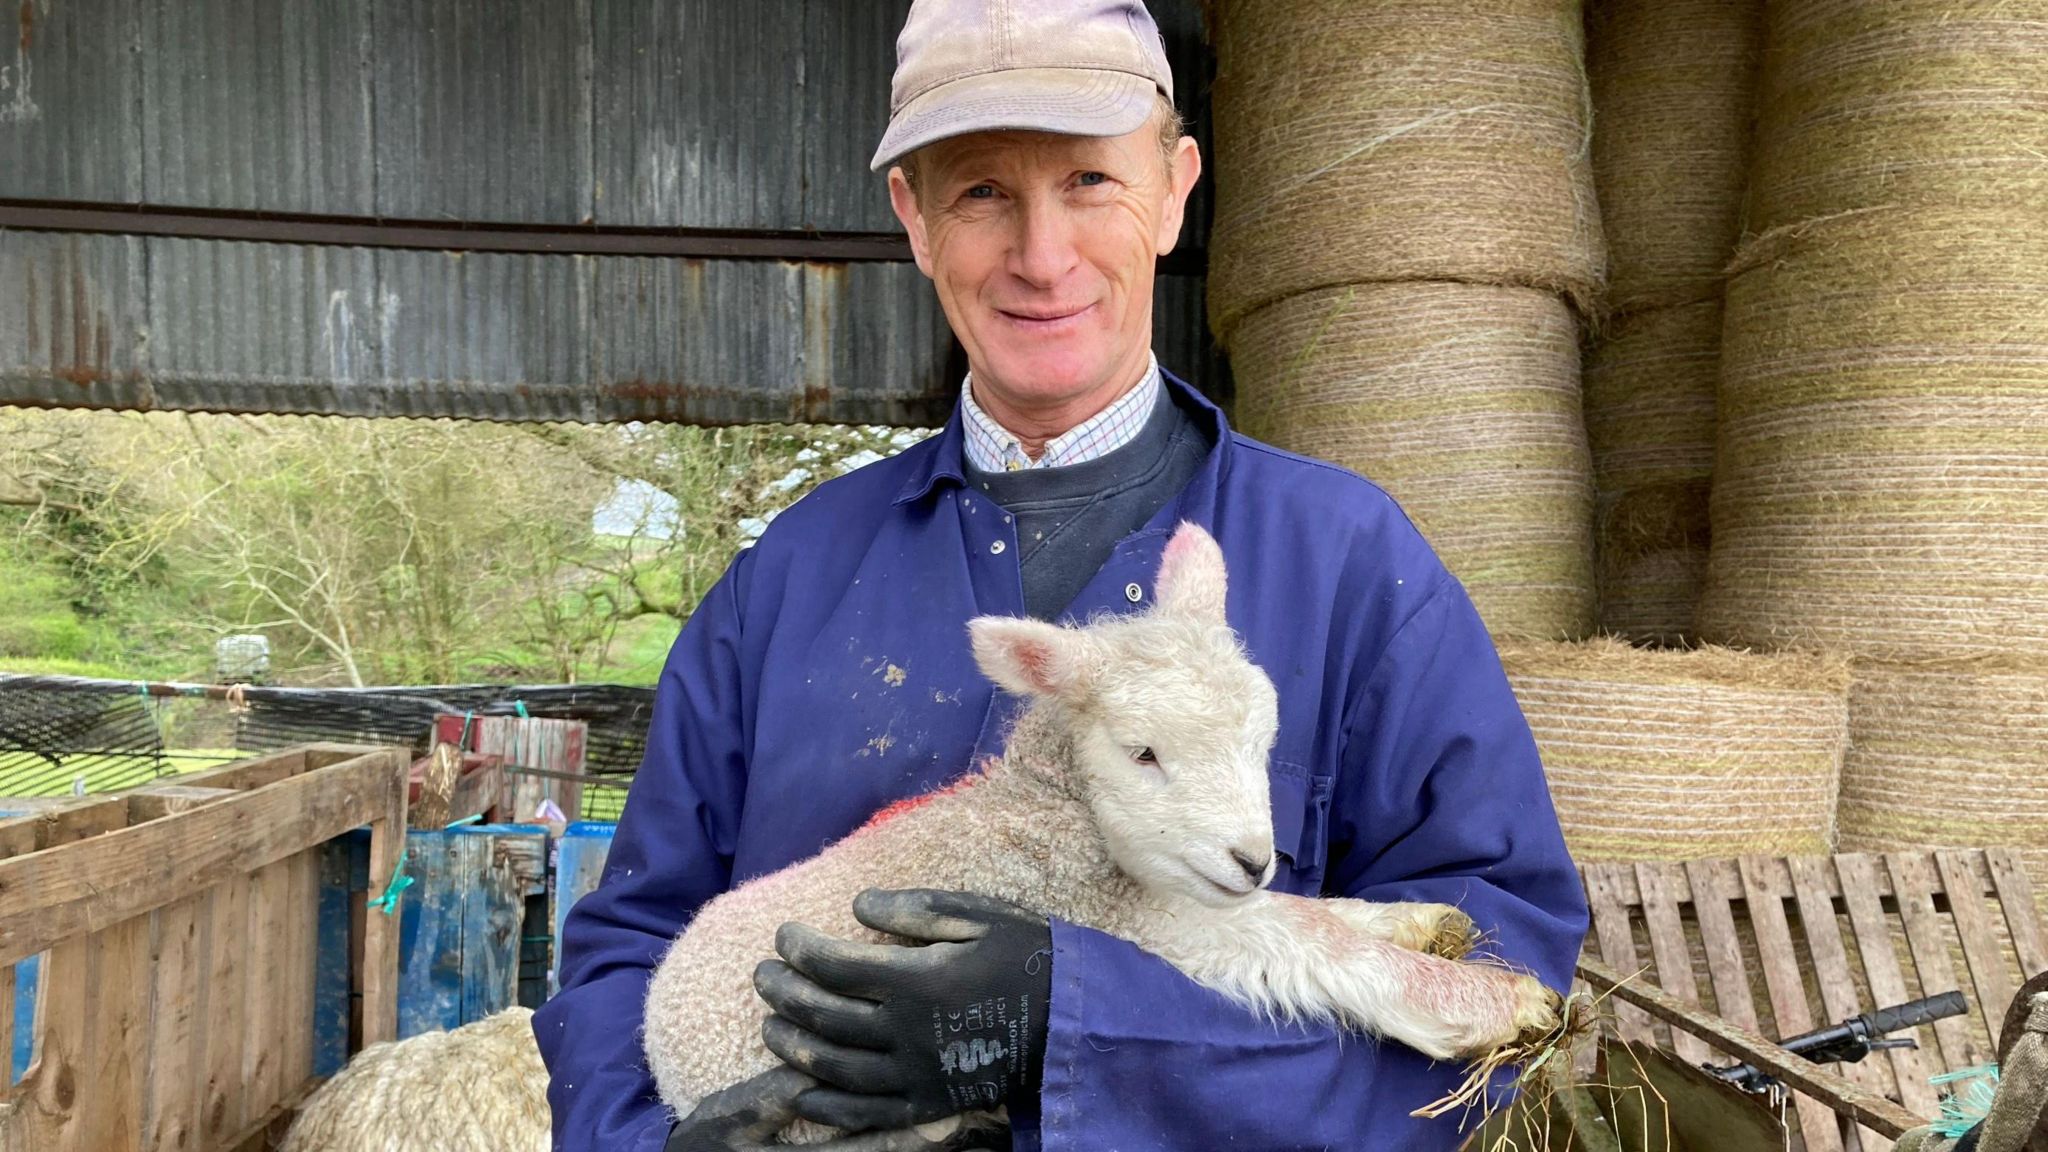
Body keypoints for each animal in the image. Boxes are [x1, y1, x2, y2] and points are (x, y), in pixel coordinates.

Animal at [647, 522, 1556, 1139]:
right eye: (1142, 752)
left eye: (1265, 739)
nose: (1251, 859)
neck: (1044, 810)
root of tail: (657, 1035)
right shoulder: (1123, 915)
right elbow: (1297, 940)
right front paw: (1489, 1002)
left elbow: (1309, 912)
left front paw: (1422, 924)